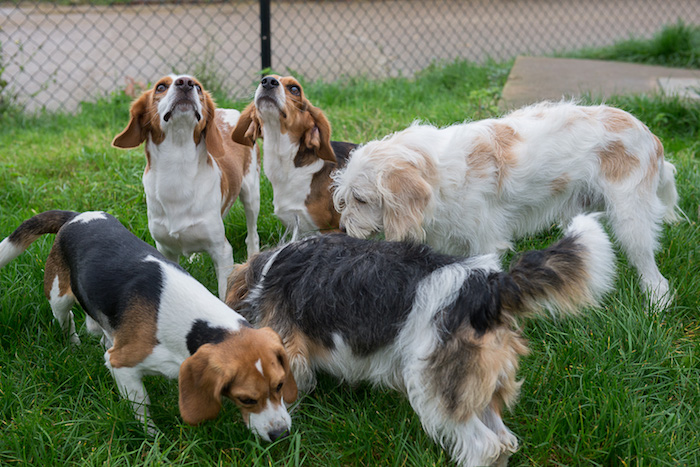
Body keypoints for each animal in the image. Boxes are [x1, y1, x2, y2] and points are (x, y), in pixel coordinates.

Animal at [0, 212, 296, 442]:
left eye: (280, 385)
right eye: (246, 399)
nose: (280, 434)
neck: (194, 324)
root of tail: (76, 216)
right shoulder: (122, 364)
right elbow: (141, 407)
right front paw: (153, 439)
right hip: (58, 296)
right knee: (67, 320)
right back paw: (72, 346)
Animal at [112, 73, 260, 300]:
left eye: (198, 87)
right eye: (160, 87)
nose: (185, 82)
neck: (178, 167)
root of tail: (229, 111)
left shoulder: (222, 251)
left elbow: (223, 294)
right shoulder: (165, 249)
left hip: (251, 194)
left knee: (252, 232)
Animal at [227, 214, 616, 466]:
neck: (267, 269)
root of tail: (484, 288)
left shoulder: (287, 347)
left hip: (435, 387)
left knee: (483, 447)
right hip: (475, 385)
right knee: (504, 443)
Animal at [330, 100, 680, 308]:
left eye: (361, 199)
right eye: (344, 200)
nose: (343, 230)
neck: (436, 172)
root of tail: (649, 134)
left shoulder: (485, 242)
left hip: (630, 220)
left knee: (653, 272)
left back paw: (657, 302)